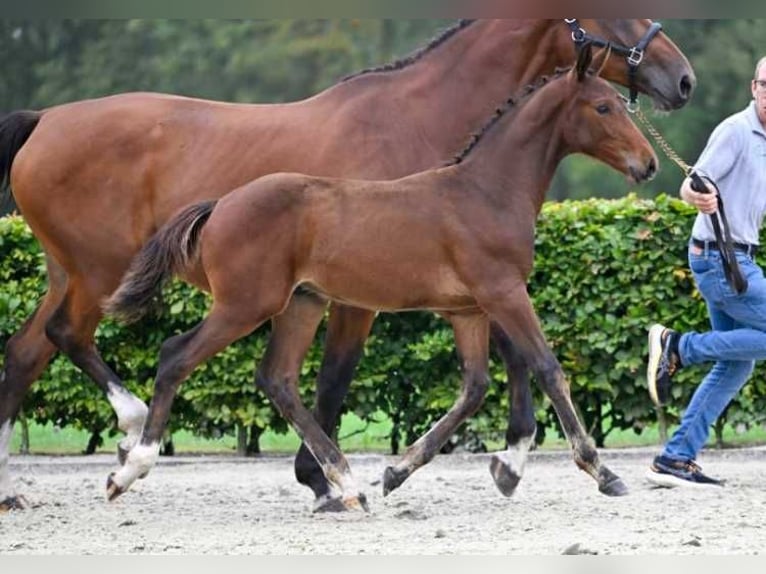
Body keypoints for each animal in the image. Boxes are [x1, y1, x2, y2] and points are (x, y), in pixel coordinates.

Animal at [0, 20, 696, 512]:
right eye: (603, 108)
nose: (648, 164)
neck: (482, 187)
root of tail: (221, 203)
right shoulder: (503, 292)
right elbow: (547, 368)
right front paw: (601, 472)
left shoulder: (467, 308)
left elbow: (475, 385)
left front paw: (403, 470)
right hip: (225, 299)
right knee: (165, 354)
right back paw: (133, 462)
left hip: (284, 302)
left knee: (267, 377)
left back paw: (347, 481)